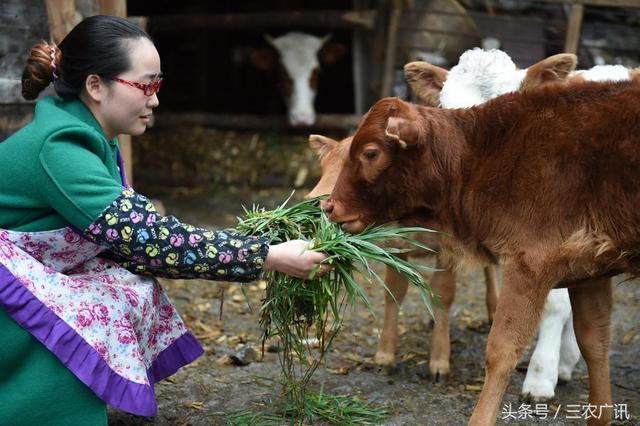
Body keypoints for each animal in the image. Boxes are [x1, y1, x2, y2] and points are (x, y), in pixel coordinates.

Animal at [324, 79, 640, 422]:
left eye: (371, 152)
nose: (329, 206)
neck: (477, 155)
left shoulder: (530, 265)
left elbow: (501, 350)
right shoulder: (591, 270)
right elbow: (594, 343)